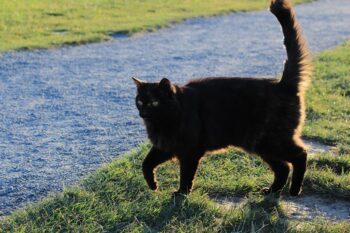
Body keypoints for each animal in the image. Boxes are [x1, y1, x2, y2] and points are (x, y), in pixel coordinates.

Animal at [132, 0, 312, 197]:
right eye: (140, 101)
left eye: (154, 102)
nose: (143, 113)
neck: (163, 122)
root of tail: (282, 84)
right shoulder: (164, 146)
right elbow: (146, 163)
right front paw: (153, 185)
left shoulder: (190, 151)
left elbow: (185, 175)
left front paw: (182, 193)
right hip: (260, 145)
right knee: (283, 167)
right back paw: (271, 191)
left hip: (271, 140)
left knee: (300, 155)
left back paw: (294, 190)